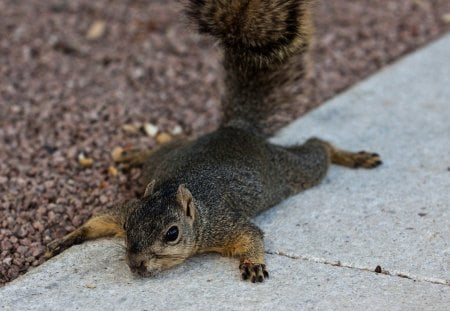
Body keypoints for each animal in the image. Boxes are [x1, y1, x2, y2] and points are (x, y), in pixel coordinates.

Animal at [44, 0, 380, 284]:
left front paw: (254, 263)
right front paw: (66, 239)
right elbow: (100, 219)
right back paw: (135, 155)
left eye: (172, 234)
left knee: (318, 148)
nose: (136, 265)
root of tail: (235, 129)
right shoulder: (127, 207)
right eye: (128, 226)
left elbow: (251, 235)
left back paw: (352, 156)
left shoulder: (224, 223)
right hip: (166, 157)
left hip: (291, 170)